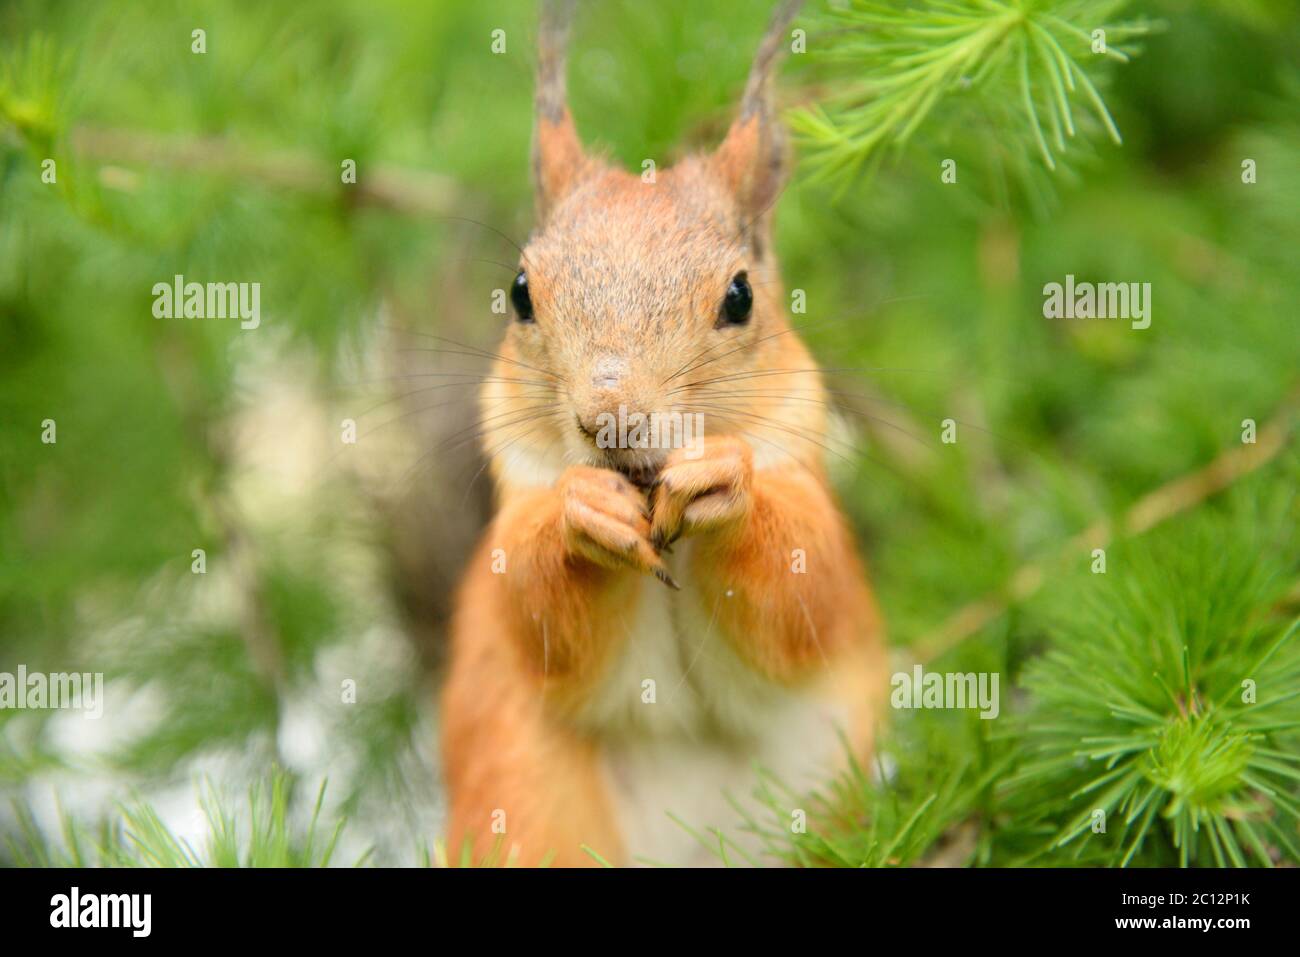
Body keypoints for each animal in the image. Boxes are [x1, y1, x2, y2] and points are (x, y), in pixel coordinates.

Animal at [439, 0, 883, 868]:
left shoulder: (808, 495)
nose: (610, 415)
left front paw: (726, 480)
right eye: (520, 291)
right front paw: (582, 513)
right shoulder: (513, 517)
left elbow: (805, 594)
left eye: (741, 296)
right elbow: (540, 617)